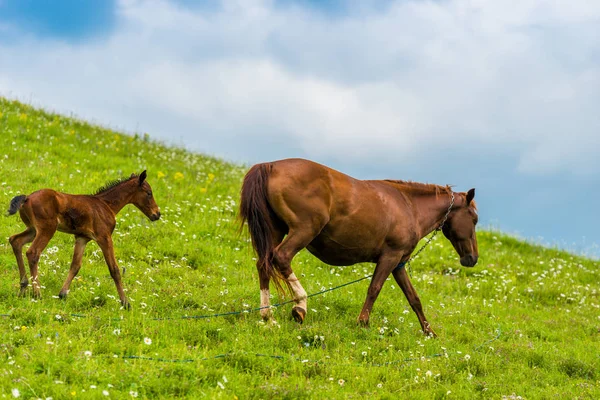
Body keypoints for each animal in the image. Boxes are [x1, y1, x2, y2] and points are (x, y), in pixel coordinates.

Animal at [7, 170, 161, 308]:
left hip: (33, 229)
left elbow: (75, 265)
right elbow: (114, 269)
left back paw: (23, 287)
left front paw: (63, 294)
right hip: (47, 229)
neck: (106, 205)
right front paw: (125, 303)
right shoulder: (104, 237)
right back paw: (37, 293)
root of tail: (27, 198)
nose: (157, 214)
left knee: (16, 241)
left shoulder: (82, 238)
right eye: (149, 193)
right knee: (33, 253)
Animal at [239, 158, 478, 336]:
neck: (409, 206)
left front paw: (429, 333)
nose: (472, 258)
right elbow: (374, 289)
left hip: (275, 231)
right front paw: (362, 323)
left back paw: (267, 316)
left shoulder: (398, 264)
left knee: (263, 264)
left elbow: (414, 298)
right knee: (281, 257)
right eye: (474, 218)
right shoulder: (390, 258)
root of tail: (270, 165)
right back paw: (300, 306)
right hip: (304, 230)